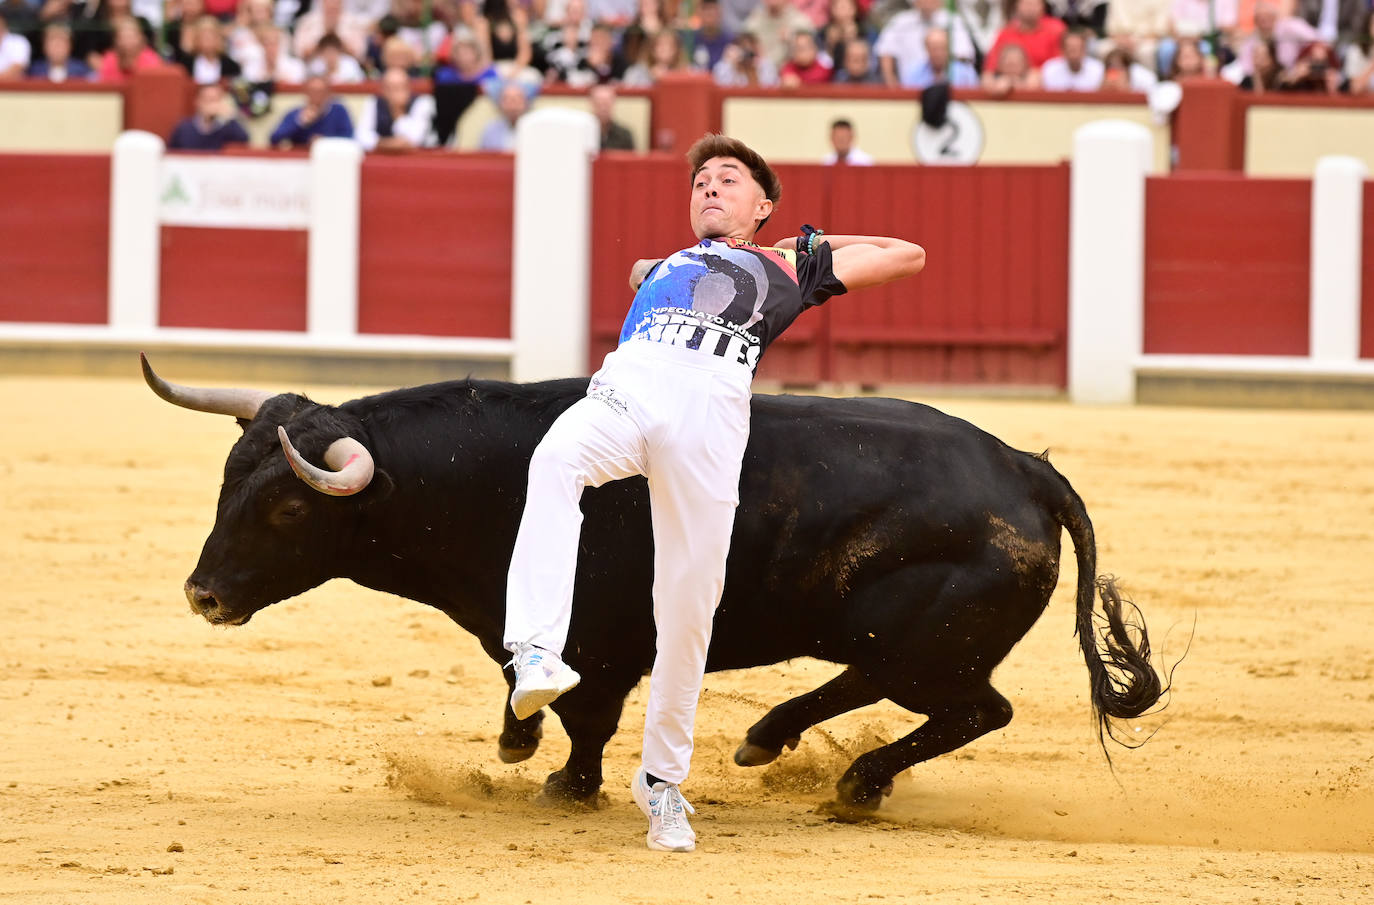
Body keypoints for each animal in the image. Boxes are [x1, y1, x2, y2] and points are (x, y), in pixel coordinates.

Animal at [147, 357, 1159, 812]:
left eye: (287, 509)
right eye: (228, 478)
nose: (202, 594)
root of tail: (1025, 465)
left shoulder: (604, 647)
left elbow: (585, 716)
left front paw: (566, 784)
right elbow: (528, 683)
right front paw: (515, 742)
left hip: (921, 642)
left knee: (972, 707)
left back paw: (851, 781)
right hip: (894, 635)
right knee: (886, 686)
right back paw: (769, 740)